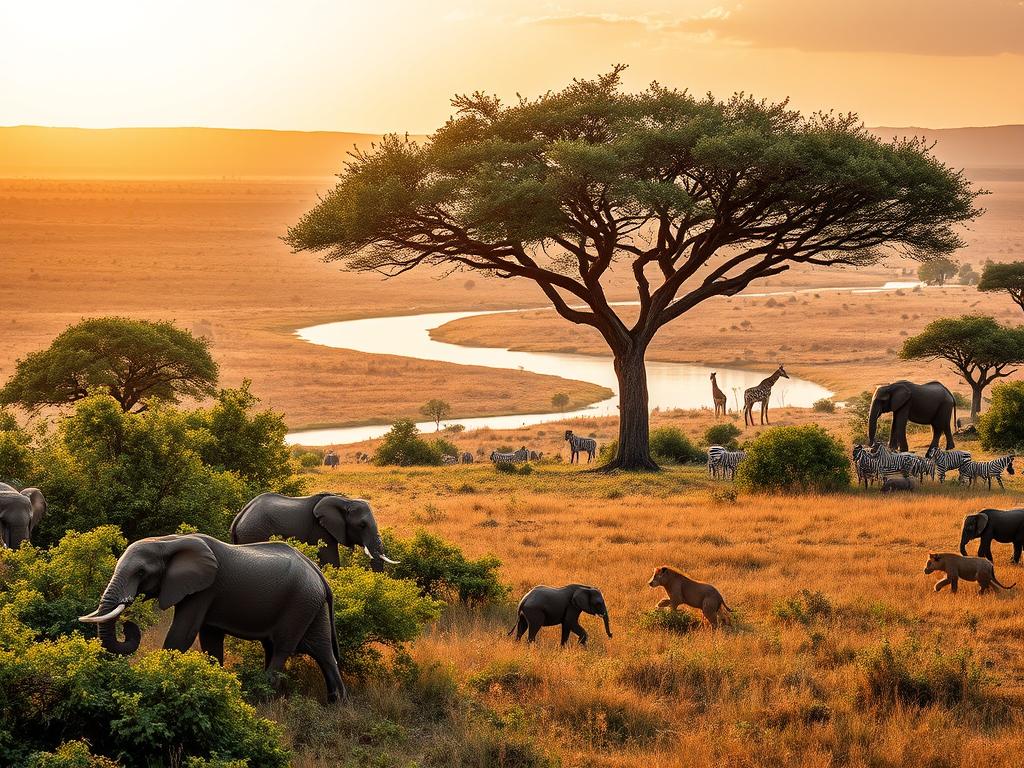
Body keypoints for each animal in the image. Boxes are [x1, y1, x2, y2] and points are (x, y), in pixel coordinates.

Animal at [79, 533, 346, 702]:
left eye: (141, 572)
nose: (128, 626)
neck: (167, 542)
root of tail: (319, 573)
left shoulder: (204, 589)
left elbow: (183, 634)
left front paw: (159, 678)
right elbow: (210, 641)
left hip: (300, 601)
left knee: (282, 648)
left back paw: (262, 698)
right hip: (311, 603)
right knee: (321, 649)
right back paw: (337, 702)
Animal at [230, 492, 397, 571]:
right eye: (362, 525)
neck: (345, 501)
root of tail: (238, 518)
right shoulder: (320, 529)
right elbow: (330, 560)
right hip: (254, 531)